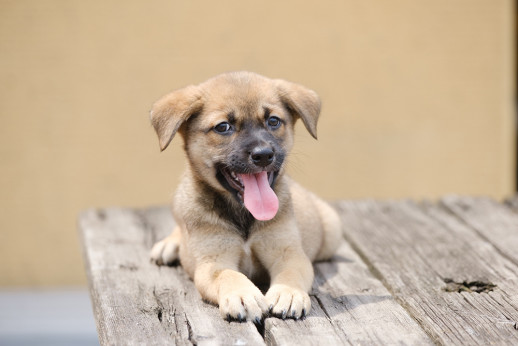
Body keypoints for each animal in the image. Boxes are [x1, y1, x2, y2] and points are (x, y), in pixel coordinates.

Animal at [150, 71, 344, 324]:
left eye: (274, 121)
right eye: (223, 127)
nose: (263, 155)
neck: (244, 215)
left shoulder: (288, 252)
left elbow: (291, 273)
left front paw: (288, 293)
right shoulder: (213, 261)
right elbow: (228, 275)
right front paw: (242, 295)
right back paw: (170, 244)